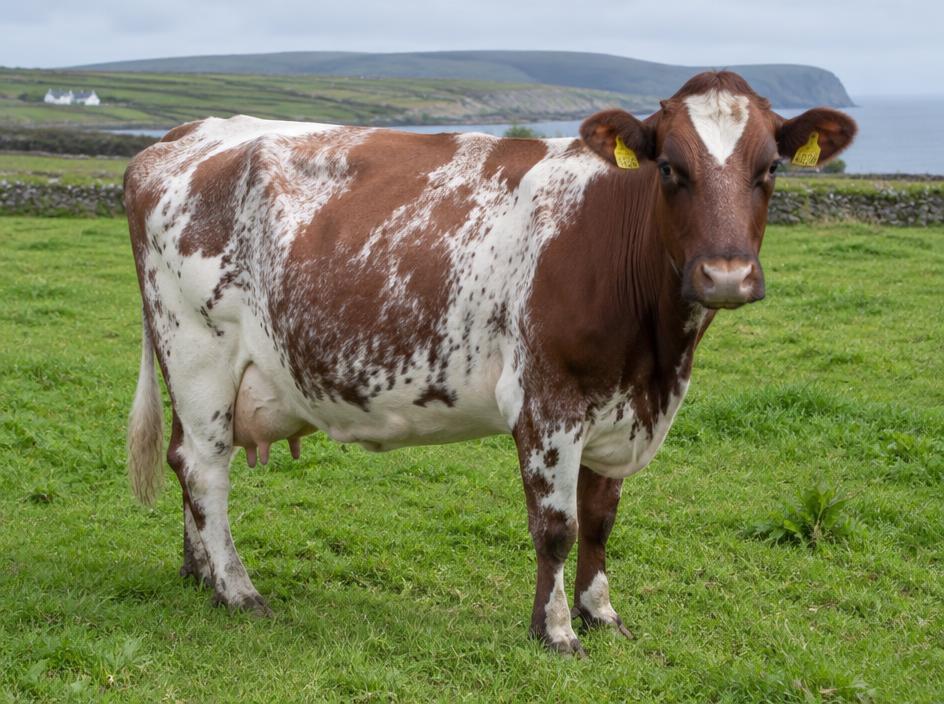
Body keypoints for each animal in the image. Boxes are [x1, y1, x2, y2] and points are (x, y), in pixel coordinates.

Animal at [124, 71, 855, 655]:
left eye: (770, 169)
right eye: (670, 167)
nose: (726, 275)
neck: (657, 358)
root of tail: (185, 135)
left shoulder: (619, 407)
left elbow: (601, 519)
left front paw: (601, 615)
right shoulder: (548, 400)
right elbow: (557, 527)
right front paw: (556, 631)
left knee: (188, 463)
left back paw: (198, 573)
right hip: (197, 351)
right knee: (205, 469)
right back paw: (237, 589)